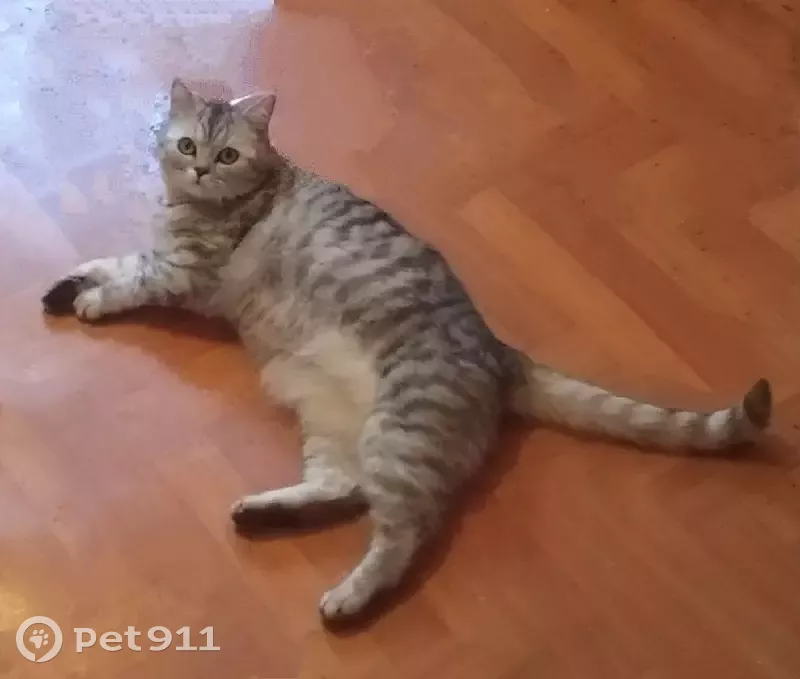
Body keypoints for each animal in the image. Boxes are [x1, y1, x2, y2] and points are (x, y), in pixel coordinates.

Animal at [42, 78, 773, 622]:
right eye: (188, 143)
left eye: (226, 156)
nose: (195, 167)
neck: (193, 206)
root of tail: (501, 351)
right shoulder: (163, 258)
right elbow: (114, 259)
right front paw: (66, 285)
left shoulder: (183, 275)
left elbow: (129, 281)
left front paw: (91, 301)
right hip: (327, 417)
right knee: (342, 486)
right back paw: (264, 514)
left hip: (403, 433)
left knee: (403, 531)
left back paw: (348, 599)